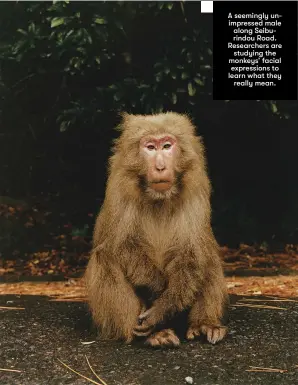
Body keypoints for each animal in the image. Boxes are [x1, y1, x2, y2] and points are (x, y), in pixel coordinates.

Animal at [85, 112, 229, 348]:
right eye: (151, 147)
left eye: (167, 146)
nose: (160, 167)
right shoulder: (119, 187)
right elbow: (122, 245)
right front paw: (159, 292)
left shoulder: (196, 188)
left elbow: (191, 252)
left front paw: (164, 306)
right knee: (104, 257)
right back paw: (151, 334)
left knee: (207, 256)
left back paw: (203, 324)